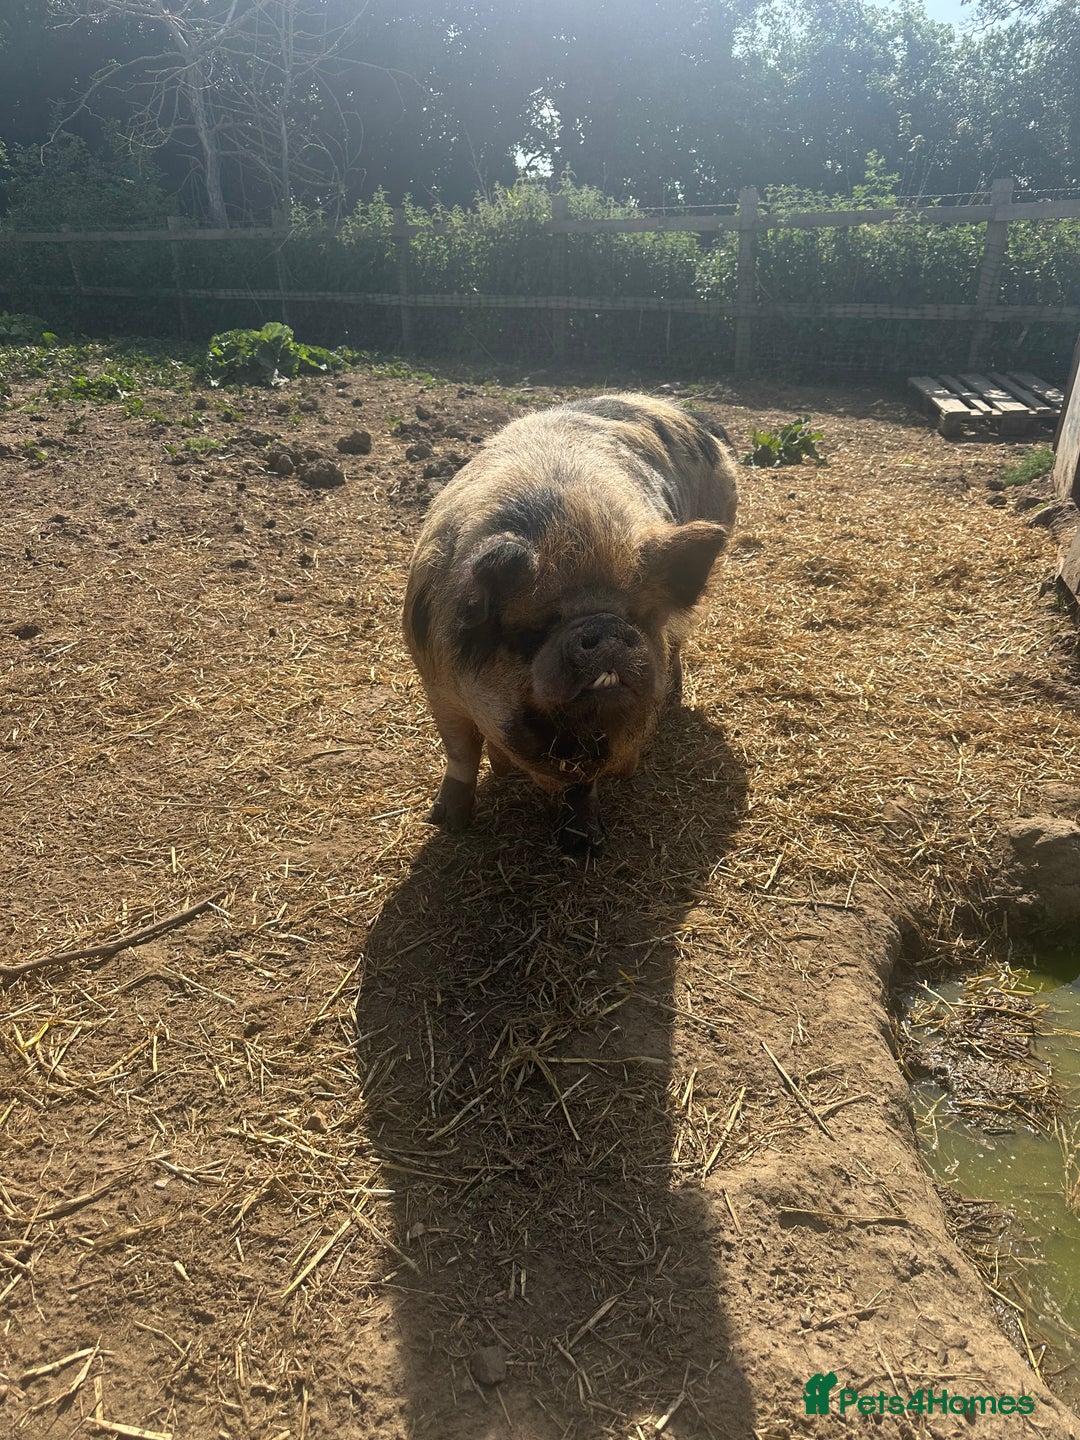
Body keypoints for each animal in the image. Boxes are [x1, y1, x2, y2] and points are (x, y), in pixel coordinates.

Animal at [402, 393, 738, 851]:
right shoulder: (435, 680)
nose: (606, 628)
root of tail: (691, 414)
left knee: (677, 645)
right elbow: (460, 751)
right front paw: (446, 823)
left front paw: (583, 847)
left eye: (637, 617)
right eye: (533, 628)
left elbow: (583, 786)